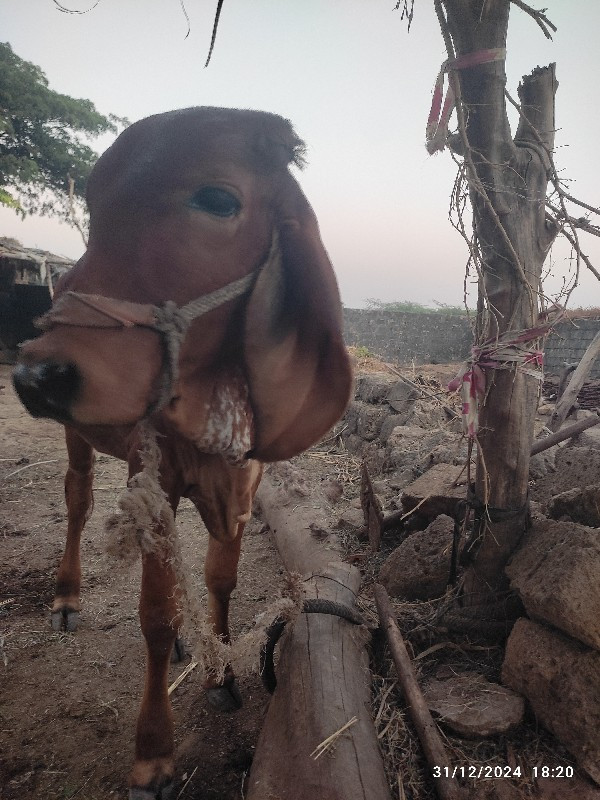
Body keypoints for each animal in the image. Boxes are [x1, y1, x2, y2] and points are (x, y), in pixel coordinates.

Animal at [12, 108, 352, 800]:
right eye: (95, 211)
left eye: (218, 199)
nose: (38, 374)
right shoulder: (159, 482)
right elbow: (155, 613)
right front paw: (153, 755)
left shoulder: (245, 485)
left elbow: (218, 580)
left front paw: (221, 676)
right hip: (79, 442)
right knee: (78, 501)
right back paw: (66, 597)